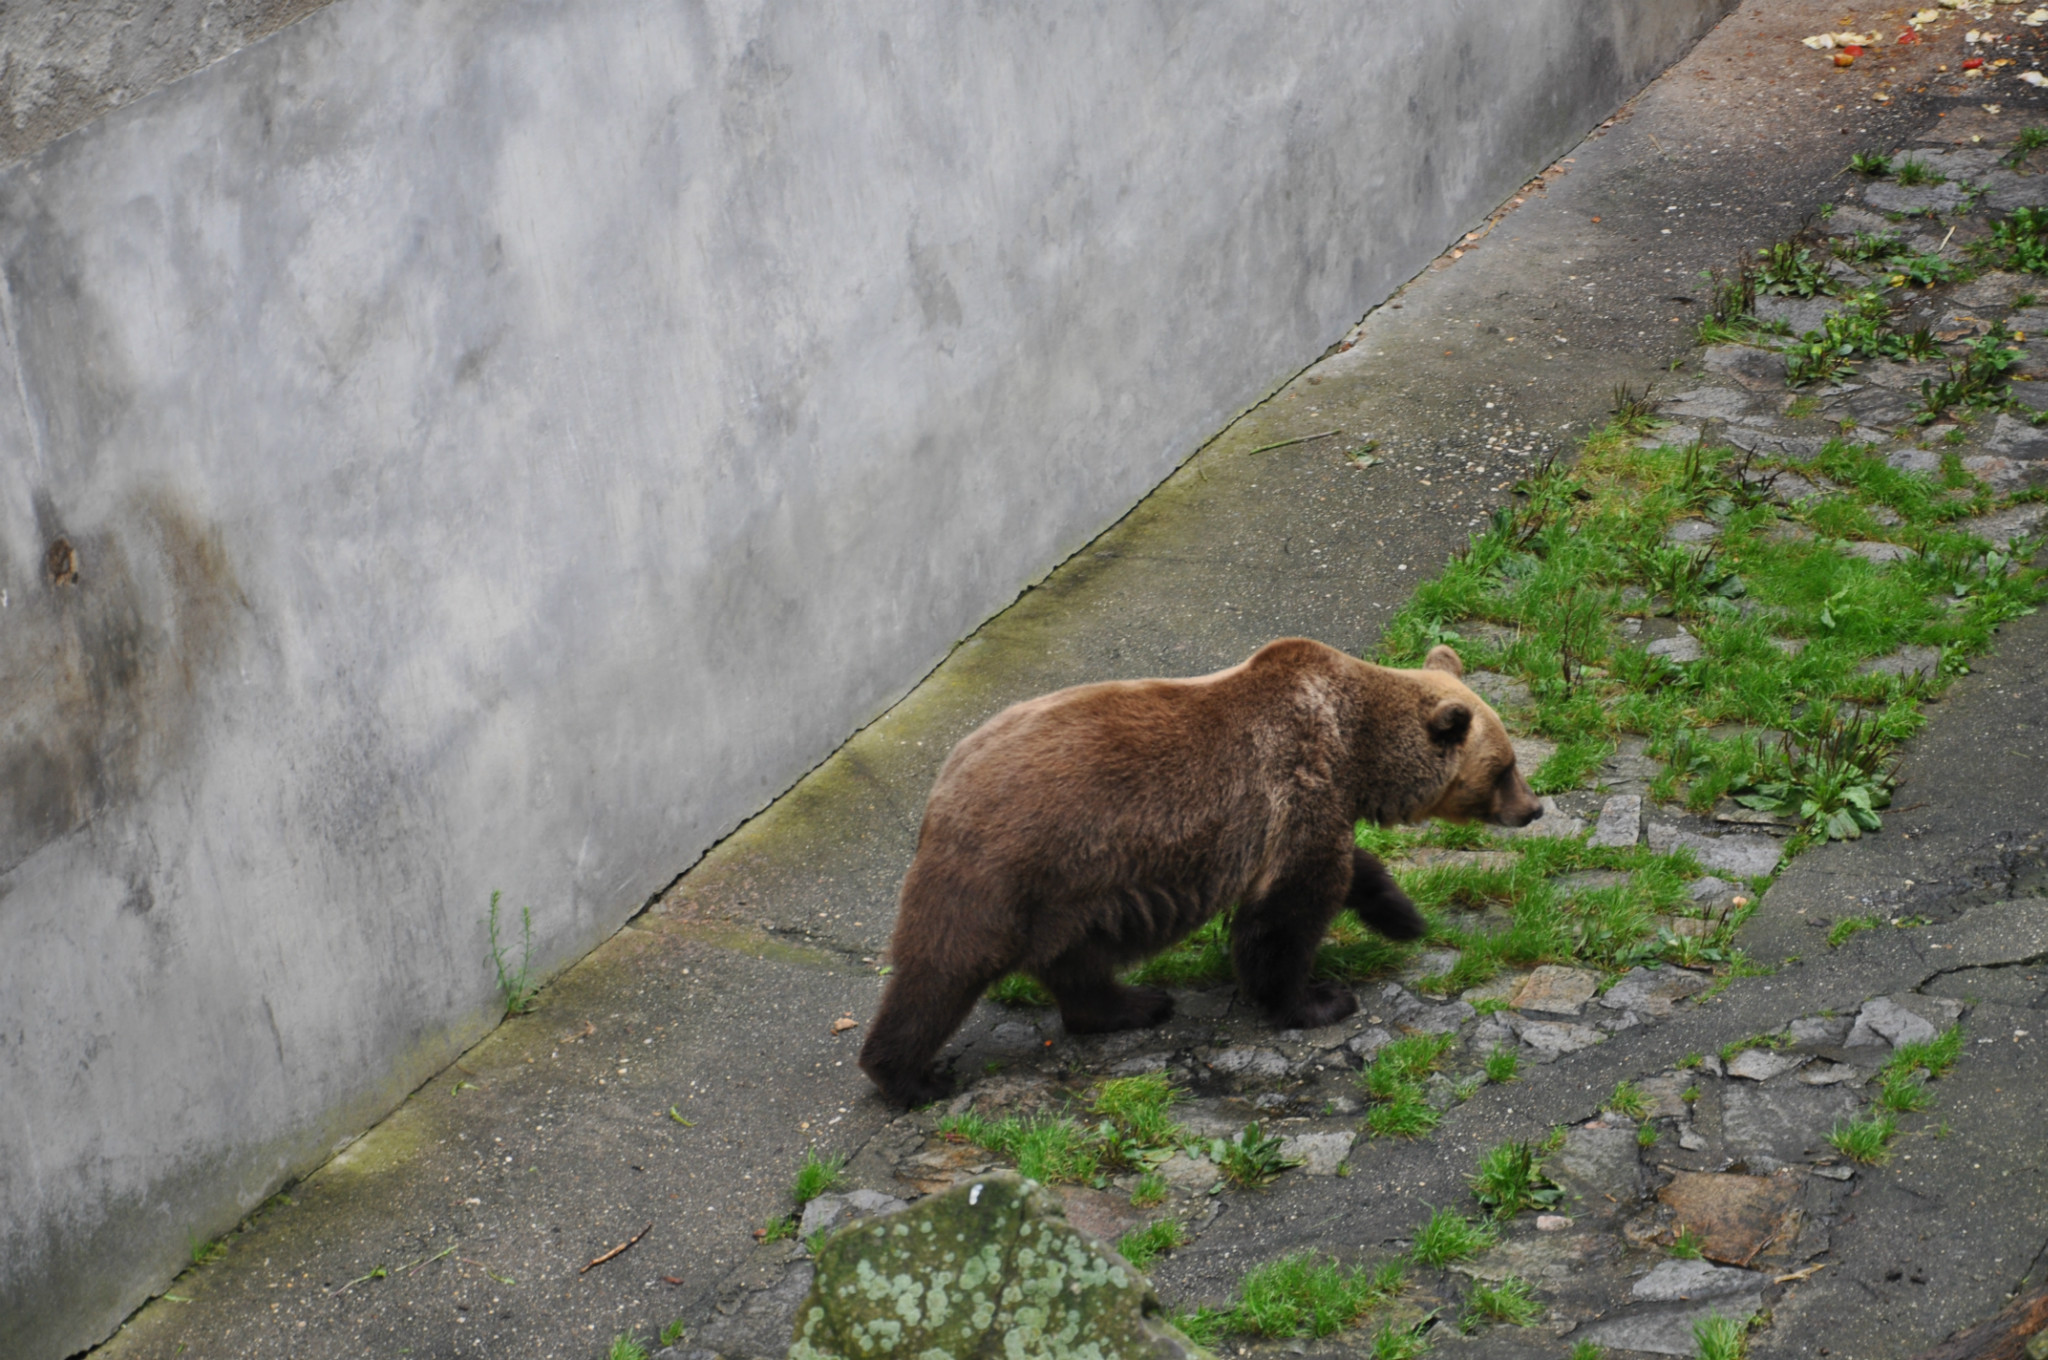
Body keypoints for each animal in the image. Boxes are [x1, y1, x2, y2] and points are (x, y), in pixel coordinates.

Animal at [856, 639, 1540, 1106]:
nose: (1533, 809)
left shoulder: (1315, 807)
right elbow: (1286, 915)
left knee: (1075, 961)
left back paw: (1133, 1005)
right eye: (1505, 767)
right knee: (945, 966)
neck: (1355, 745)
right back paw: (911, 1076)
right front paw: (1318, 999)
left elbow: (1349, 871)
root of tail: (942, 785)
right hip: (1009, 864)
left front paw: (1401, 915)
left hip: (1076, 887)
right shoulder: (1294, 787)